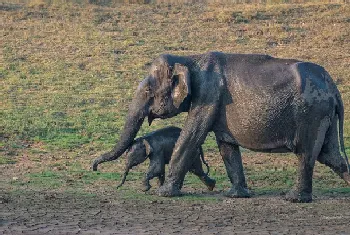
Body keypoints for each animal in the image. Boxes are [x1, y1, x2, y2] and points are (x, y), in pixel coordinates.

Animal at [92, 52, 350, 203]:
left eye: (147, 90)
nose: (94, 167)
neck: (189, 58)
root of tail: (333, 87)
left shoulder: (207, 95)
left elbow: (191, 136)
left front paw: (163, 193)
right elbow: (226, 145)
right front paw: (235, 195)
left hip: (311, 113)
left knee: (307, 153)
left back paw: (293, 199)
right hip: (321, 114)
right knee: (331, 156)